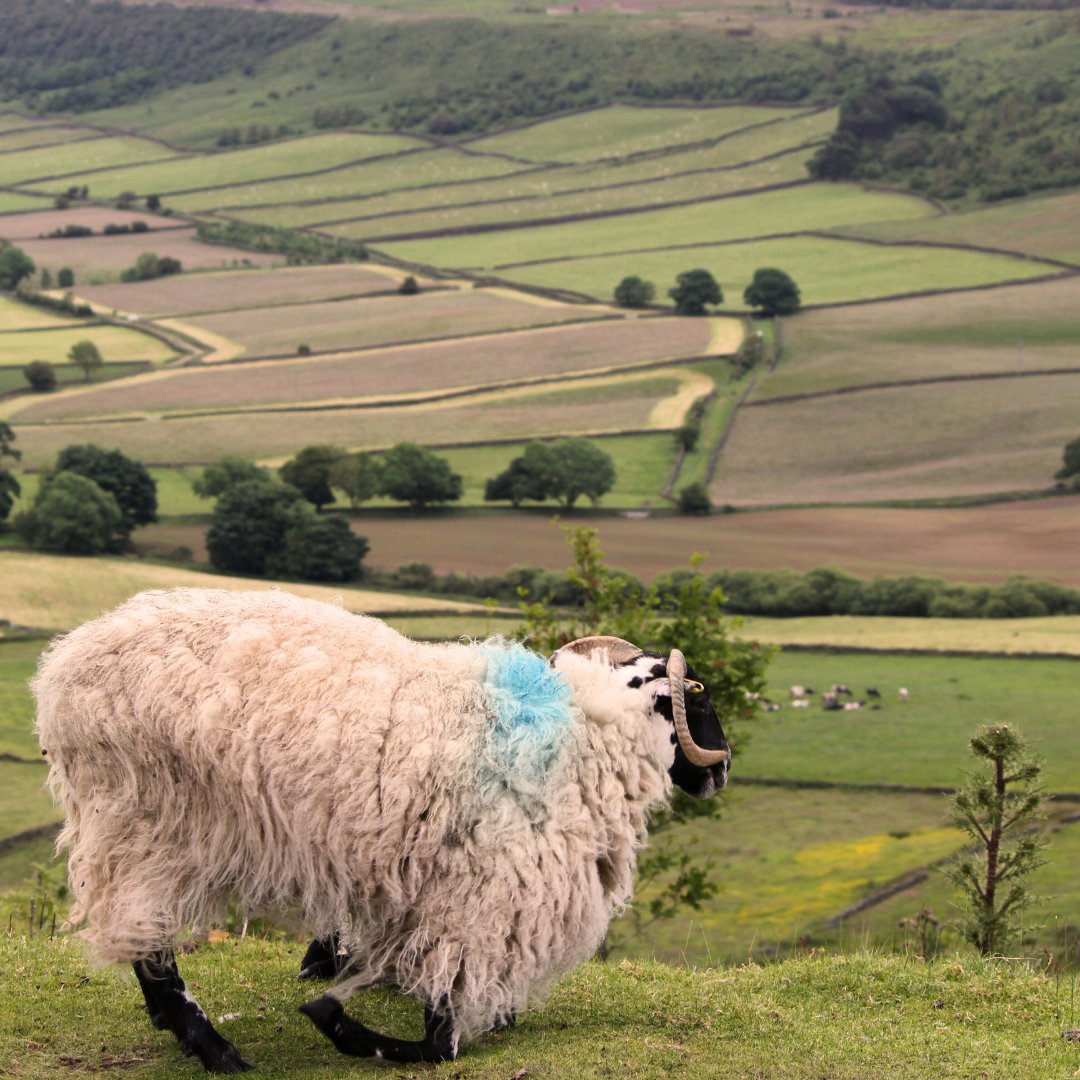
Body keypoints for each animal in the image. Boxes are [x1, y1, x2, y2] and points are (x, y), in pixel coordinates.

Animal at [32, 588, 731, 1072]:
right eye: (695, 692)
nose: (721, 769)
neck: (580, 731)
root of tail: (63, 665)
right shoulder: (480, 895)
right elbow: (441, 1039)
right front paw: (343, 1025)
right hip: (146, 824)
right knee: (151, 950)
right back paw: (216, 1051)